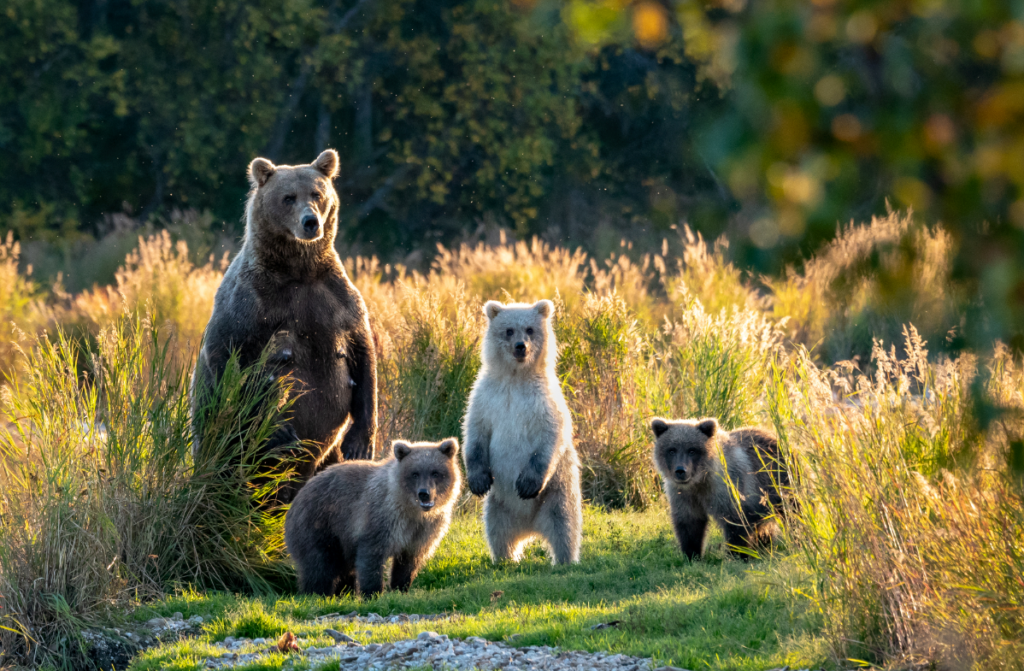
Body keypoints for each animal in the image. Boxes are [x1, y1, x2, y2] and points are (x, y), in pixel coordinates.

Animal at [191, 149, 376, 501]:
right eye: (288, 197)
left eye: (316, 194)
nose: (311, 222)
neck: (298, 270)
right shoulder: (250, 303)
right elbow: (230, 357)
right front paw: (280, 431)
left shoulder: (336, 298)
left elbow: (364, 356)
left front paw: (360, 442)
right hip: (219, 442)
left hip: (325, 459)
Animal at [284, 438, 460, 594]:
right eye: (415, 473)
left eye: (435, 472)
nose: (424, 493)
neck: (412, 510)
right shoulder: (382, 517)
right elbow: (371, 556)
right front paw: (373, 592)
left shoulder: (424, 530)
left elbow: (408, 562)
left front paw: (400, 588)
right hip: (319, 524)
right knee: (319, 565)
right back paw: (317, 593)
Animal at [464, 297, 585, 561]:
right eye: (509, 330)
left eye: (529, 329)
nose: (521, 347)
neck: (516, 378)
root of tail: (530, 528)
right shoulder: (486, 398)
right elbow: (475, 433)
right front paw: (478, 481)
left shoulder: (544, 401)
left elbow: (551, 435)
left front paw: (526, 484)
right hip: (499, 505)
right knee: (497, 531)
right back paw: (504, 559)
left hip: (557, 491)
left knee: (565, 526)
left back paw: (565, 560)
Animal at [651, 417, 786, 557]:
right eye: (671, 450)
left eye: (692, 450)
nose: (680, 470)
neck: (700, 481)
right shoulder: (683, 494)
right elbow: (690, 523)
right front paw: (692, 554)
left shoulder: (727, 488)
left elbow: (735, 523)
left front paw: (737, 554)